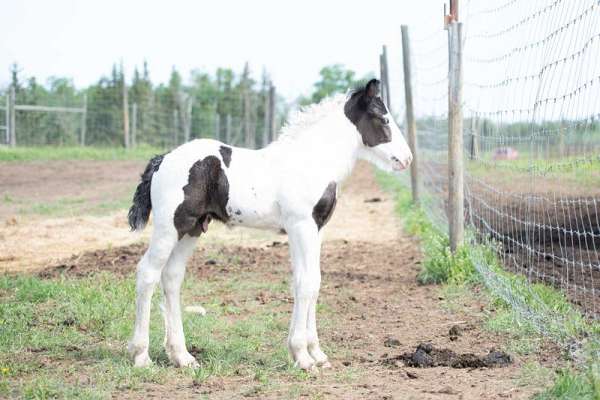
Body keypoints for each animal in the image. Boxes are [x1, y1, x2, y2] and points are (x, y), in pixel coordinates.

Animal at [126, 79, 412, 370]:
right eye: (383, 118)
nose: (407, 159)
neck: (311, 162)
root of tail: (162, 159)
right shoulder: (301, 226)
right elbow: (306, 283)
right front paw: (302, 356)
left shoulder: (315, 229)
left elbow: (311, 282)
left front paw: (316, 353)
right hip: (169, 227)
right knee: (147, 273)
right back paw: (141, 355)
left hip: (192, 228)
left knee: (171, 277)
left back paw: (182, 356)